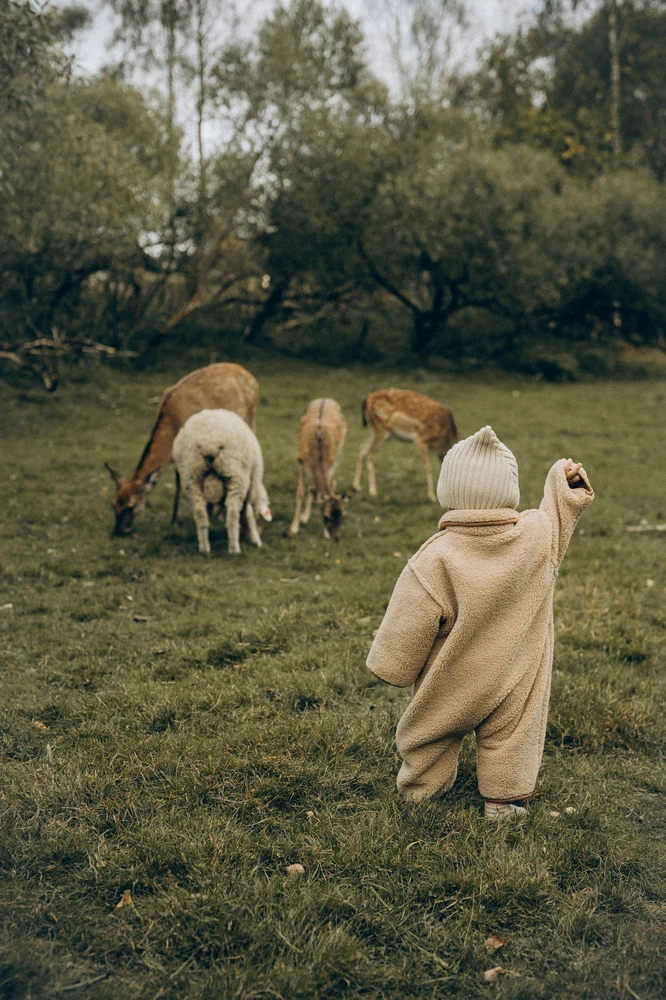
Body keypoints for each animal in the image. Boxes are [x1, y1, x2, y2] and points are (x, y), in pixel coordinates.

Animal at [104, 358, 256, 532]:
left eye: (131, 506)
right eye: (113, 504)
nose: (119, 532)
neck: (172, 426)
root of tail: (253, 378)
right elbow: (178, 482)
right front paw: (174, 520)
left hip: (248, 419)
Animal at [174, 412, 272, 560]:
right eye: (261, 519)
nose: (259, 532)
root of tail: (209, 442)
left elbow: (208, 510)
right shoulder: (248, 489)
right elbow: (247, 514)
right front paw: (256, 540)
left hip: (192, 476)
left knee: (200, 513)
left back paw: (204, 547)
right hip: (235, 476)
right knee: (232, 514)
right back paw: (234, 549)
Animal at [290, 396, 352, 544]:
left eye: (343, 516)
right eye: (326, 517)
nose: (336, 538)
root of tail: (325, 398)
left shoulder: (330, 464)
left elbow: (325, 487)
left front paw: (325, 533)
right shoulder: (301, 461)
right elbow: (300, 491)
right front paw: (294, 527)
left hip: (338, 453)